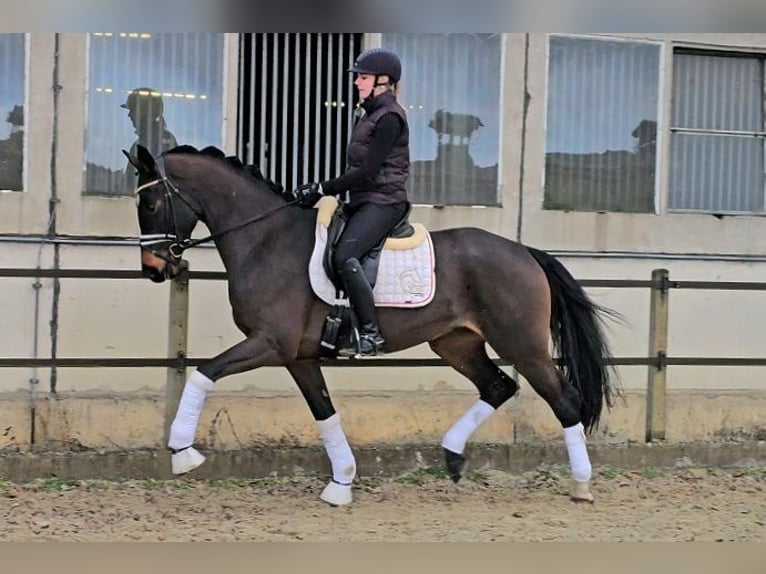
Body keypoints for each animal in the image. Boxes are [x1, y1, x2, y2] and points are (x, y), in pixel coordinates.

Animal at [123, 144, 620, 508]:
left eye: (150, 201)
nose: (154, 269)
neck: (266, 239)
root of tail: (524, 251)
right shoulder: (299, 357)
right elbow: (324, 412)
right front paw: (341, 484)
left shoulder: (270, 344)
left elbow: (204, 372)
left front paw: (183, 453)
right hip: (456, 343)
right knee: (499, 386)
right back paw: (452, 457)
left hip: (523, 345)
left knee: (564, 400)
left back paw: (581, 486)